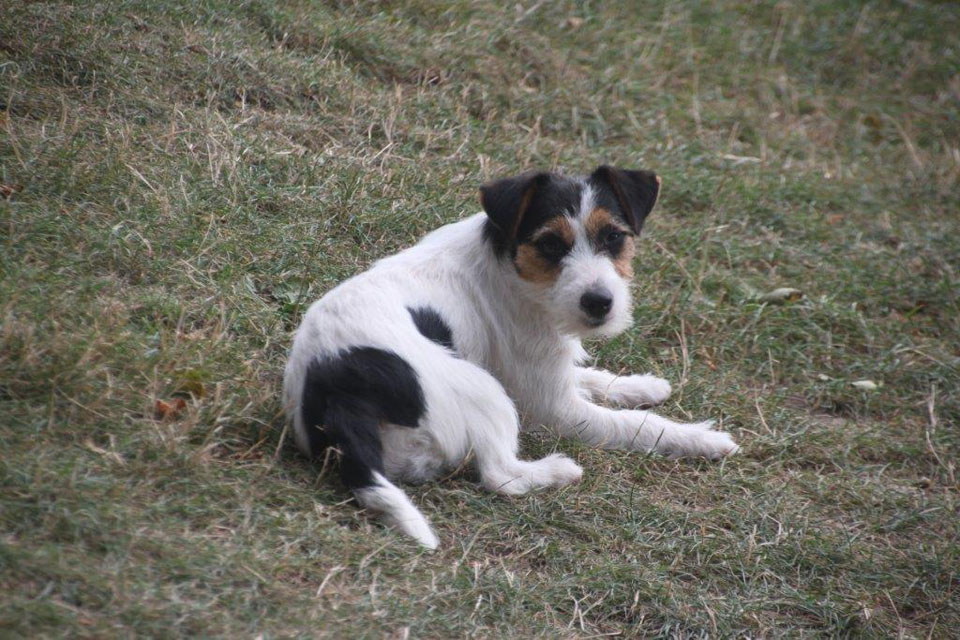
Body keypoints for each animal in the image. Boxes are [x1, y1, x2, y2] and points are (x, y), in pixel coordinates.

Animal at [283, 166, 739, 549]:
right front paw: (701, 439)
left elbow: (591, 376)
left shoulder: (542, 368)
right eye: (550, 243)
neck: (513, 266)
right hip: (483, 389)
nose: (599, 303)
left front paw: (643, 385)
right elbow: (637, 426)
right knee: (500, 477)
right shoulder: (555, 407)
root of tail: (336, 396)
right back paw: (557, 470)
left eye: (613, 237)